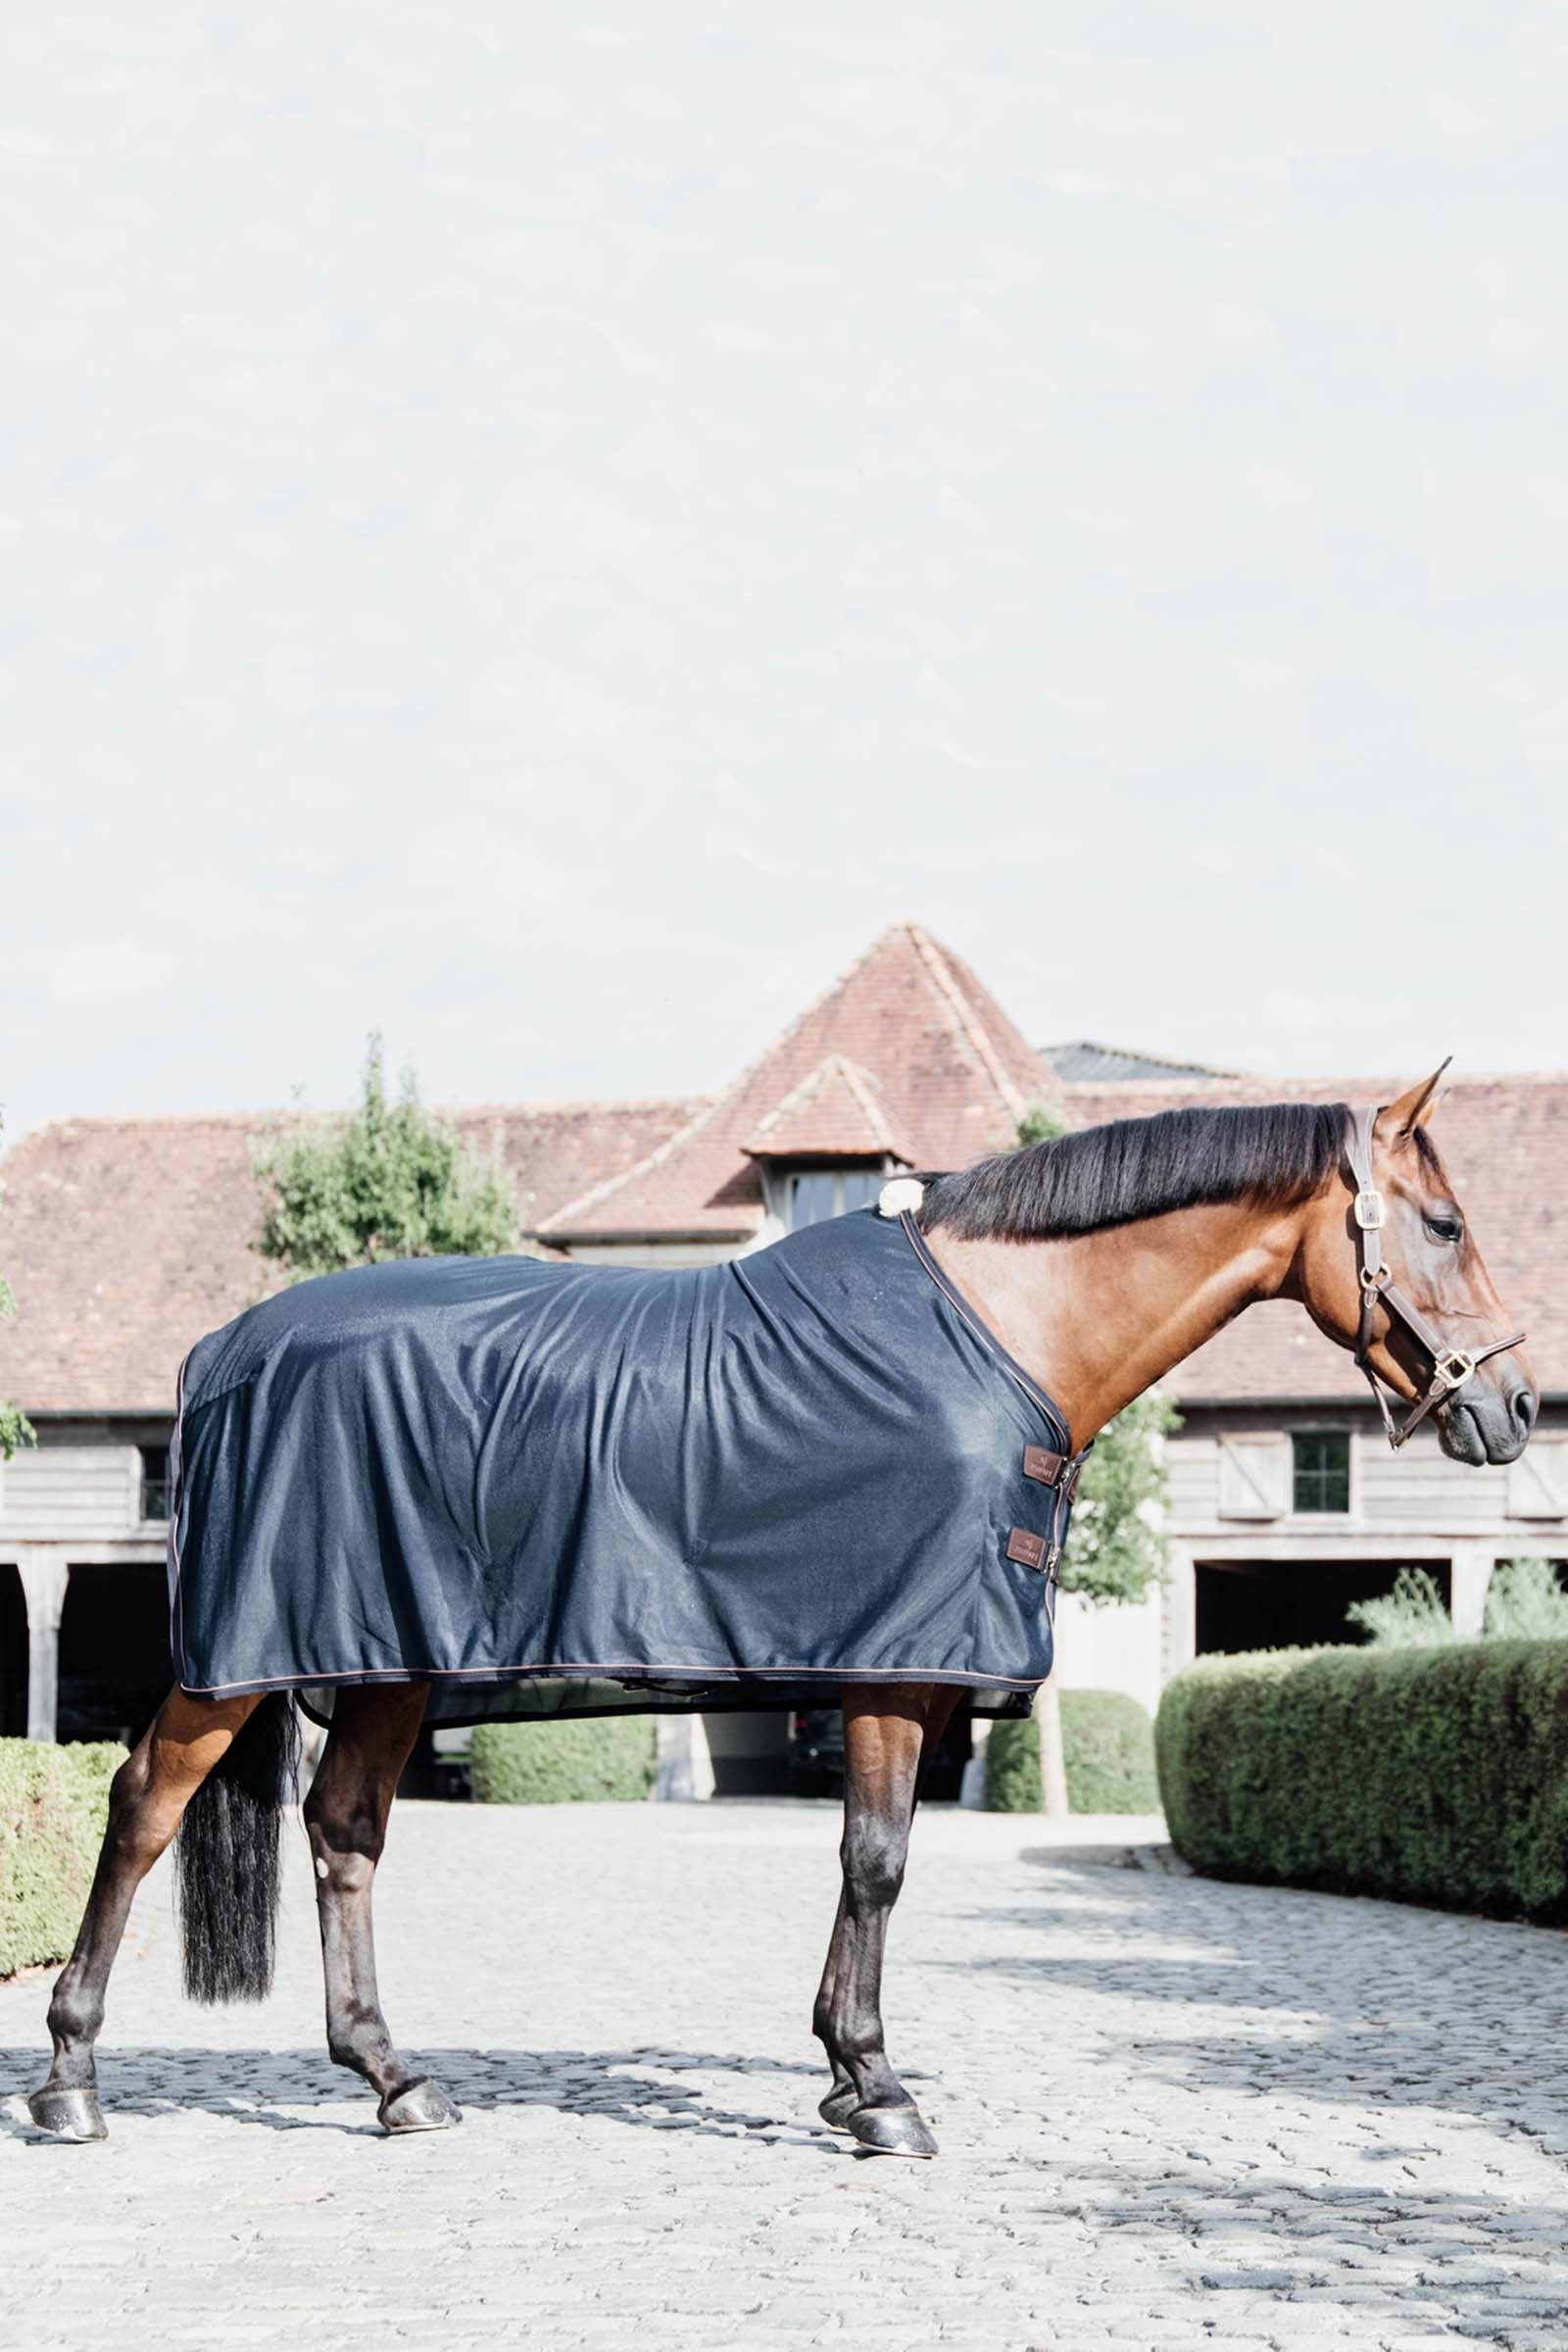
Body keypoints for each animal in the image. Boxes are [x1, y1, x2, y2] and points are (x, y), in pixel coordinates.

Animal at [26, 1069, 1536, 2157]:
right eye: (1445, 1225)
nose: (1512, 1407)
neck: (998, 1332)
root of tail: (227, 1350)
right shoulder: (890, 1671)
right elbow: (875, 1863)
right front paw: (874, 2089)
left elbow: (872, 1862)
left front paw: (847, 2073)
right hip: (242, 1668)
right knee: (143, 1805)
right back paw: (71, 2079)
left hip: (391, 1662)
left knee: (344, 1835)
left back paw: (396, 2080)